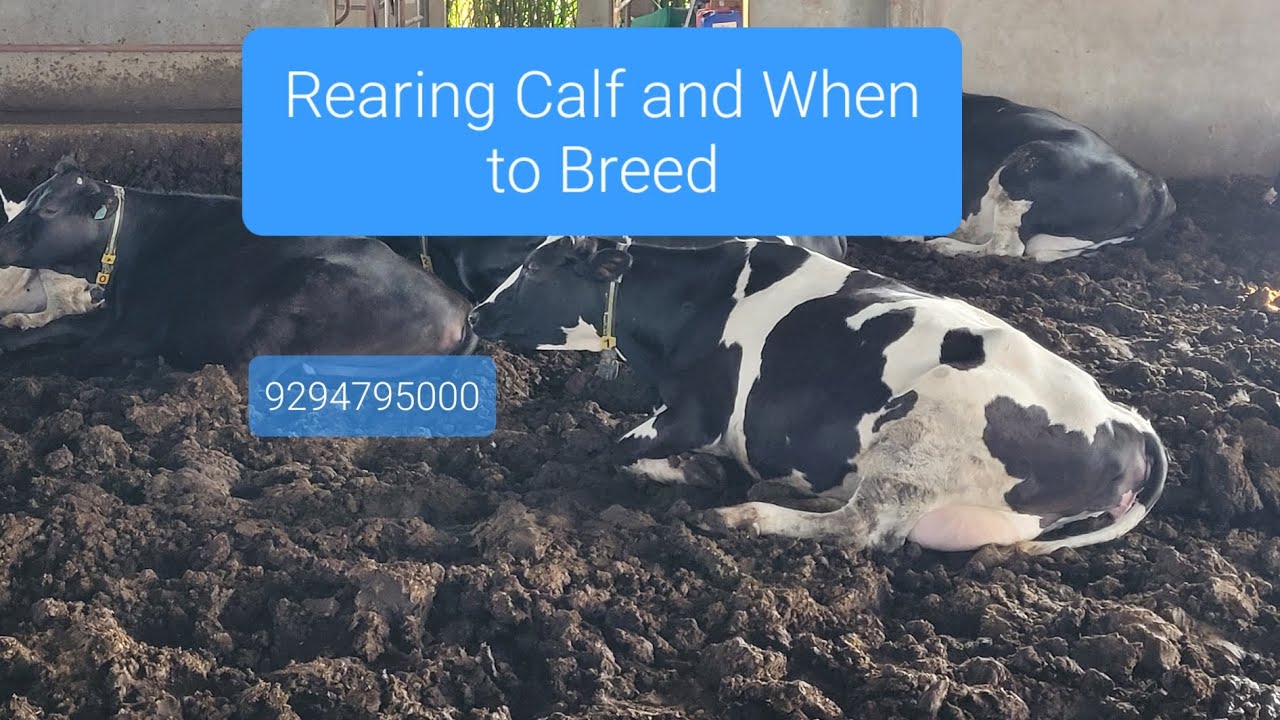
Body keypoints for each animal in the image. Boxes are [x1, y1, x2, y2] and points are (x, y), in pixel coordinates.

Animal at [468, 236, 1168, 554]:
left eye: (537, 267)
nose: (476, 314)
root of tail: (1127, 422)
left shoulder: (699, 413)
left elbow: (613, 449)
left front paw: (691, 474)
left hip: (924, 432)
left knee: (865, 527)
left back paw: (743, 513)